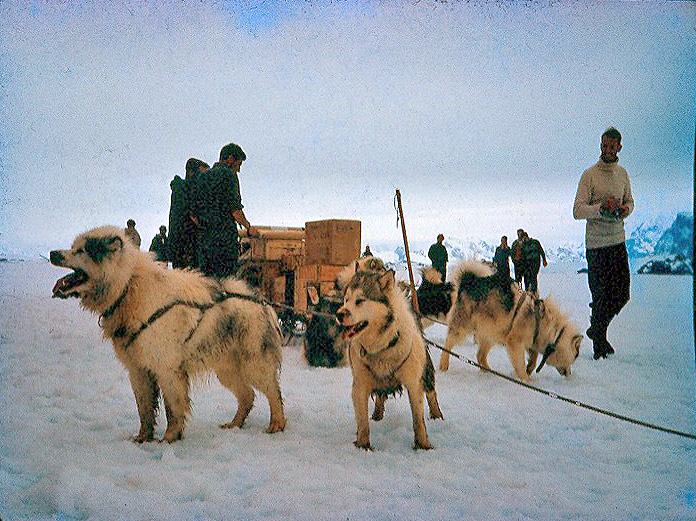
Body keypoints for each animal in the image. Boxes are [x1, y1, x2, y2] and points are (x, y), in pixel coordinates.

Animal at [50, 225, 286, 440]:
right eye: (73, 247)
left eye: (81, 250)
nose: (53, 253)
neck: (129, 288)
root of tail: (263, 302)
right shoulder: (138, 370)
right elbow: (144, 409)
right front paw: (143, 439)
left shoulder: (167, 369)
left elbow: (173, 409)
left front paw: (170, 439)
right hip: (227, 368)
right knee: (248, 395)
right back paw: (234, 424)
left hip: (253, 363)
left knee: (273, 391)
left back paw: (277, 423)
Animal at [336, 266, 444, 448]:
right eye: (346, 300)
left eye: (360, 300)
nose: (339, 314)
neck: (383, 345)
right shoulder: (360, 385)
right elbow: (362, 423)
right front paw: (362, 446)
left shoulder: (414, 383)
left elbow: (418, 420)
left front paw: (423, 445)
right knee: (380, 396)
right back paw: (377, 416)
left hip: (426, 370)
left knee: (431, 393)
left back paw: (437, 416)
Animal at [440, 258, 580, 378]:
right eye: (575, 357)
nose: (569, 374)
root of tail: (468, 280)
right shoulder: (515, 341)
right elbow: (520, 364)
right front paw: (525, 379)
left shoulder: (530, 340)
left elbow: (533, 357)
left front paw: (529, 368)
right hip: (463, 327)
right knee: (448, 344)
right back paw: (443, 364)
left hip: (490, 331)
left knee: (480, 355)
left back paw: (489, 371)